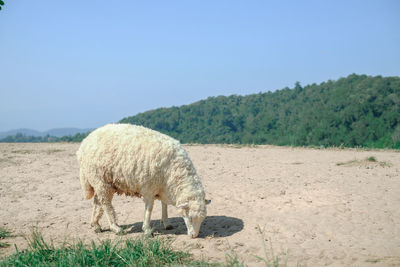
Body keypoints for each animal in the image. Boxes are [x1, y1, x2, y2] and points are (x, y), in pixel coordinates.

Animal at [76, 123, 211, 239]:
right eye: (190, 217)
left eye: (203, 219)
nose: (194, 236)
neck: (175, 171)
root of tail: (85, 142)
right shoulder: (149, 187)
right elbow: (149, 208)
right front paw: (147, 229)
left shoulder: (162, 187)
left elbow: (164, 205)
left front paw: (166, 223)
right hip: (100, 179)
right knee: (105, 202)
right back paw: (115, 227)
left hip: (101, 181)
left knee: (97, 201)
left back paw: (96, 225)